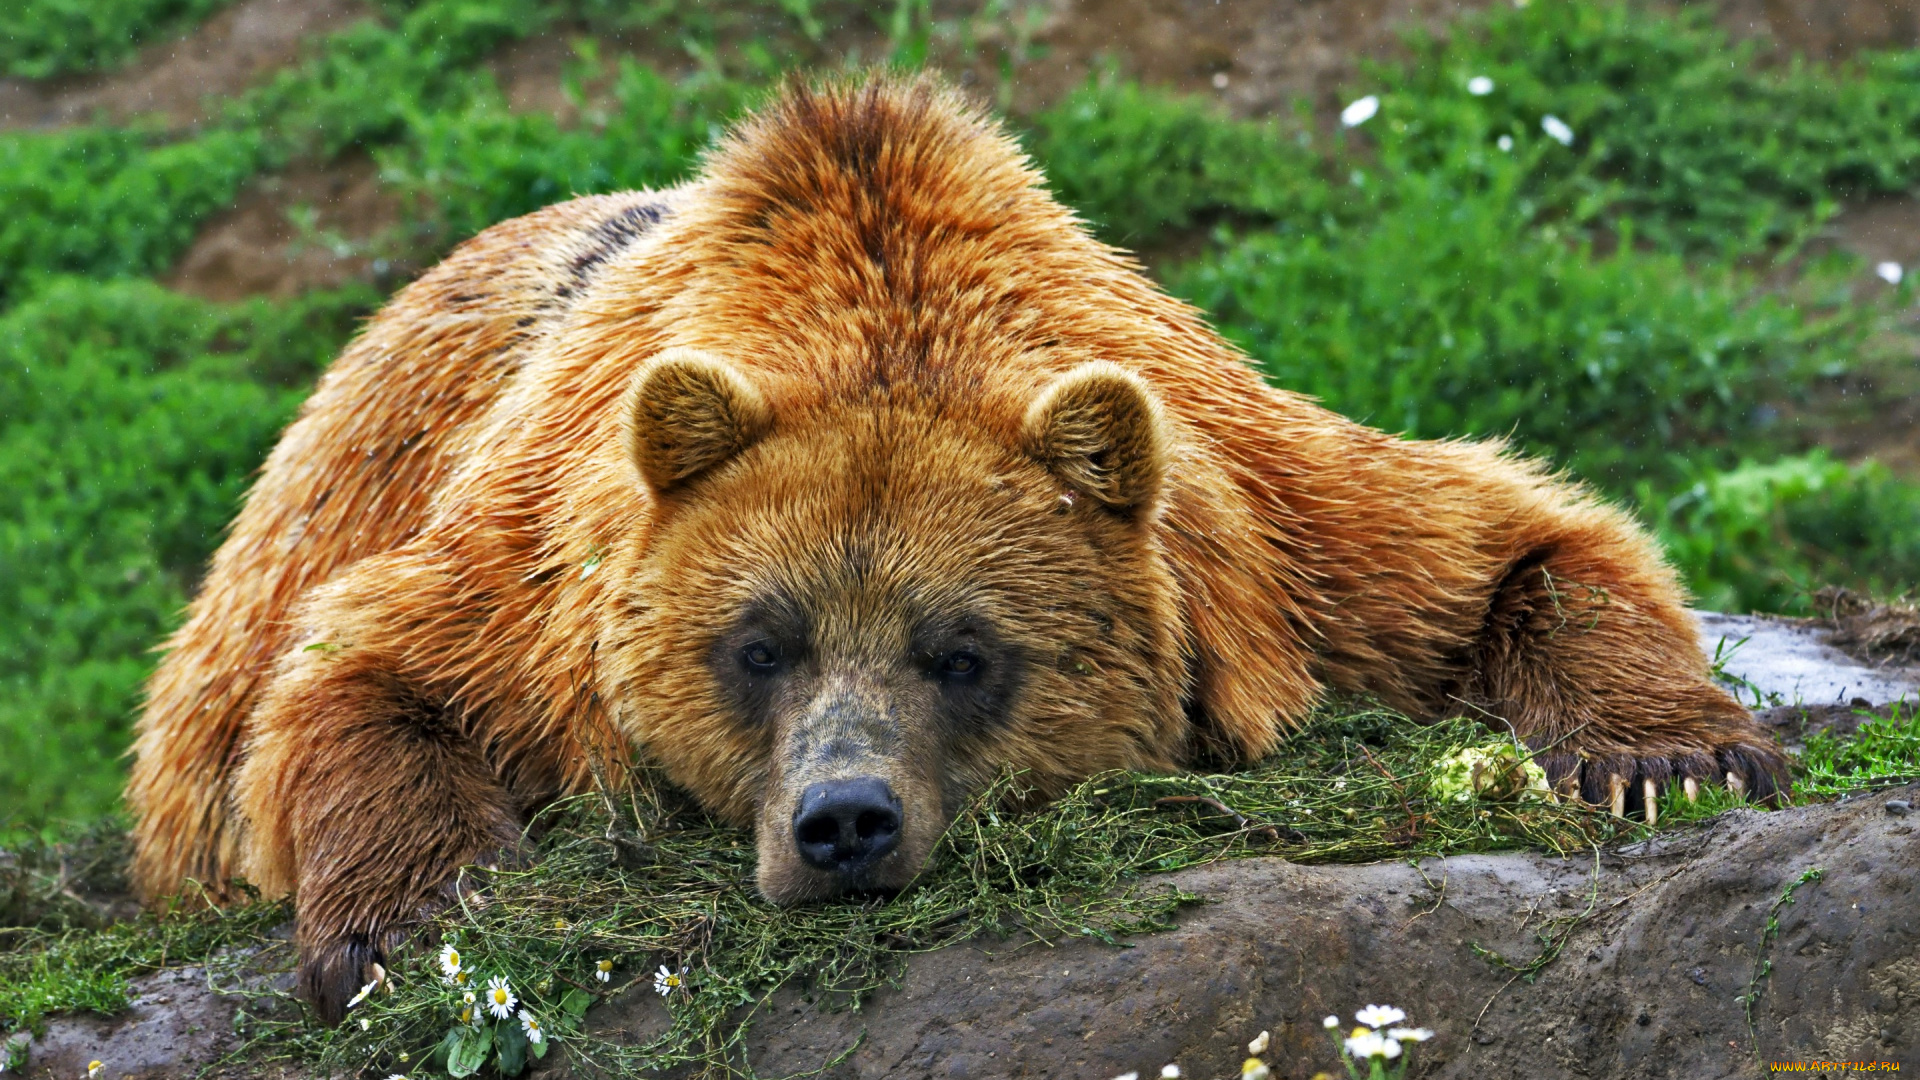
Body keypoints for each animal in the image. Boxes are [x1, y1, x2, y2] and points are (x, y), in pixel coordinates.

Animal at [126, 74, 1788, 1022]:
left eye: (964, 652)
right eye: (759, 645)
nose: (844, 823)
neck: (871, 291)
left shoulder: (1269, 529)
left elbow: (1510, 546)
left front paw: (1673, 755)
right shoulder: (542, 575)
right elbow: (362, 669)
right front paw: (410, 924)